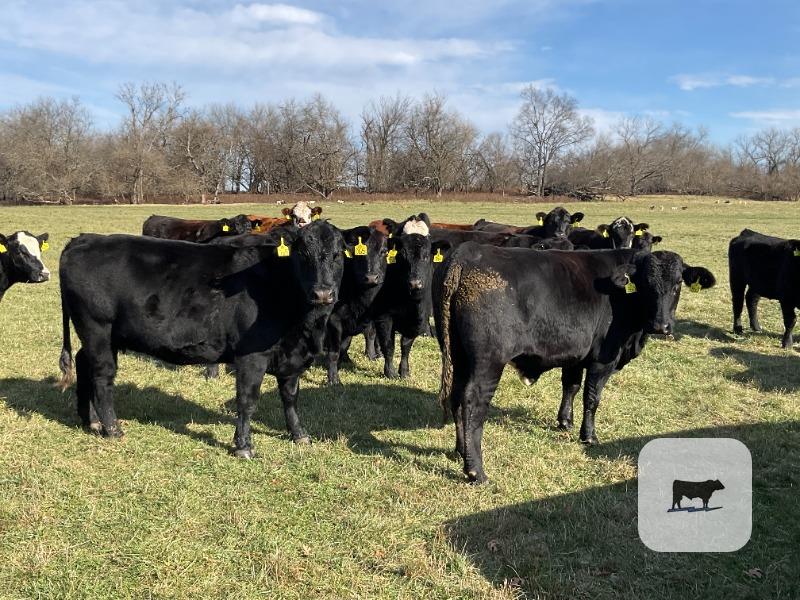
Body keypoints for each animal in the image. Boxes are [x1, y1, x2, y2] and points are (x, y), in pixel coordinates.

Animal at [58, 221, 345, 457]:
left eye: (338, 254)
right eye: (302, 254)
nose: (323, 293)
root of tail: (83, 239)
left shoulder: (292, 355)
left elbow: (290, 397)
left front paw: (299, 435)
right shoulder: (251, 356)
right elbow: (247, 401)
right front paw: (243, 446)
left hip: (102, 335)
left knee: (83, 363)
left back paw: (91, 420)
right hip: (98, 329)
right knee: (102, 377)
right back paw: (113, 428)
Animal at [433, 244, 716, 482]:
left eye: (678, 283)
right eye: (645, 284)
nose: (660, 326)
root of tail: (467, 252)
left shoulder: (576, 355)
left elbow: (571, 386)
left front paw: (565, 422)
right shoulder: (603, 359)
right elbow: (591, 398)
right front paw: (588, 436)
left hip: (458, 356)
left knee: (457, 397)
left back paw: (461, 450)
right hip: (488, 362)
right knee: (473, 403)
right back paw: (475, 471)